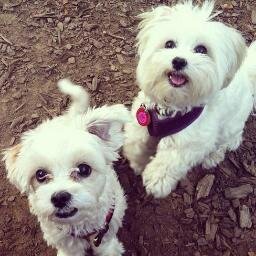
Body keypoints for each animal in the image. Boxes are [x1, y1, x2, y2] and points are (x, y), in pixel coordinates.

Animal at [3, 79, 129, 255]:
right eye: (40, 174)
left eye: (84, 169)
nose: (60, 197)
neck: (80, 226)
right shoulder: (64, 240)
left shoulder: (106, 231)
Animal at [123, 0, 256, 198]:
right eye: (169, 44)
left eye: (201, 49)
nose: (179, 61)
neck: (170, 106)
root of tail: (247, 75)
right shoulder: (141, 121)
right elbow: (134, 144)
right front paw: (138, 163)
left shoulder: (192, 141)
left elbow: (171, 160)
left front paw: (156, 180)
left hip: (230, 126)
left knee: (228, 142)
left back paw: (213, 157)